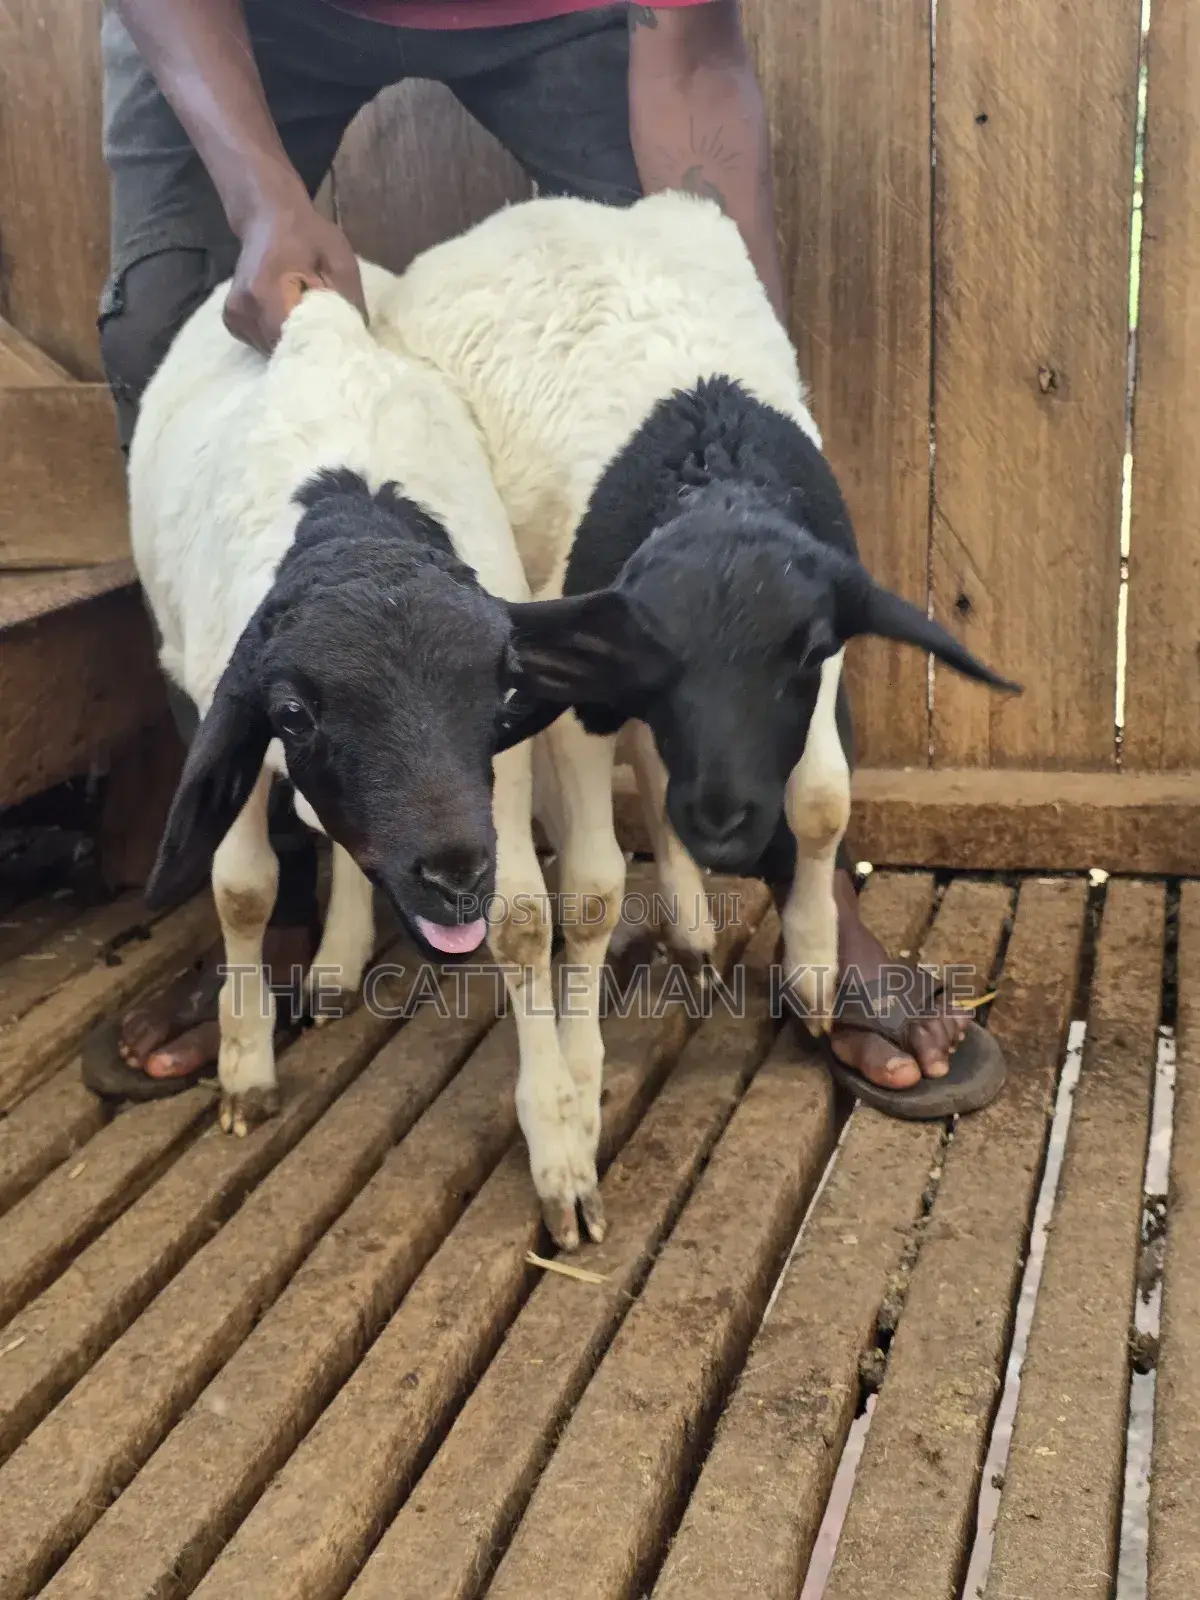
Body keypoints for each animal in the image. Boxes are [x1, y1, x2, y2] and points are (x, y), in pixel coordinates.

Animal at [131, 280, 598, 1244]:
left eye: (503, 691)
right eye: (293, 712)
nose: (453, 876)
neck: (354, 519)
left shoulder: (494, 780)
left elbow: (524, 923)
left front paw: (560, 1150)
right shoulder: (230, 710)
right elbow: (242, 892)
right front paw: (245, 1066)